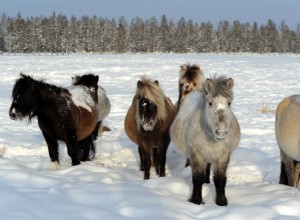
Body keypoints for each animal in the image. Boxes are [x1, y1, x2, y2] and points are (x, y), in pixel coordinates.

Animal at [170, 75, 240, 206]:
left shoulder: (223, 156)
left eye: (229, 103)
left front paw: (221, 202)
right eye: (210, 103)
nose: (221, 132)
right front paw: (196, 200)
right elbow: (197, 178)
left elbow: (220, 179)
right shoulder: (197, 155)